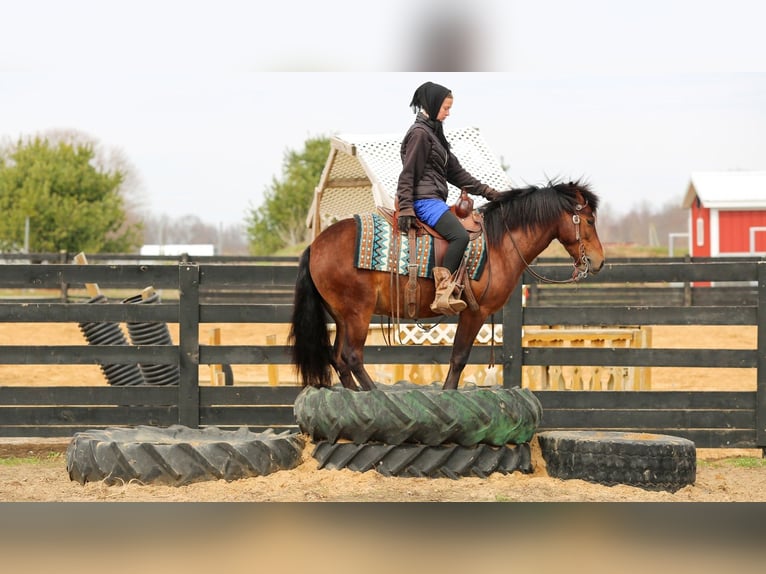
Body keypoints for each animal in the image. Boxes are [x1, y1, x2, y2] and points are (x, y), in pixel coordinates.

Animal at [288, 180, 605, 391]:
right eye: (589, 220)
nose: (599, 261)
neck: (500, 243)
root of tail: (315, 246)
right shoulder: (474, 312)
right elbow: (459, 358)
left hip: (341, 316)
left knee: (338, 359)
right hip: (358, 313)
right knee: (352, 357)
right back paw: (375, 395)